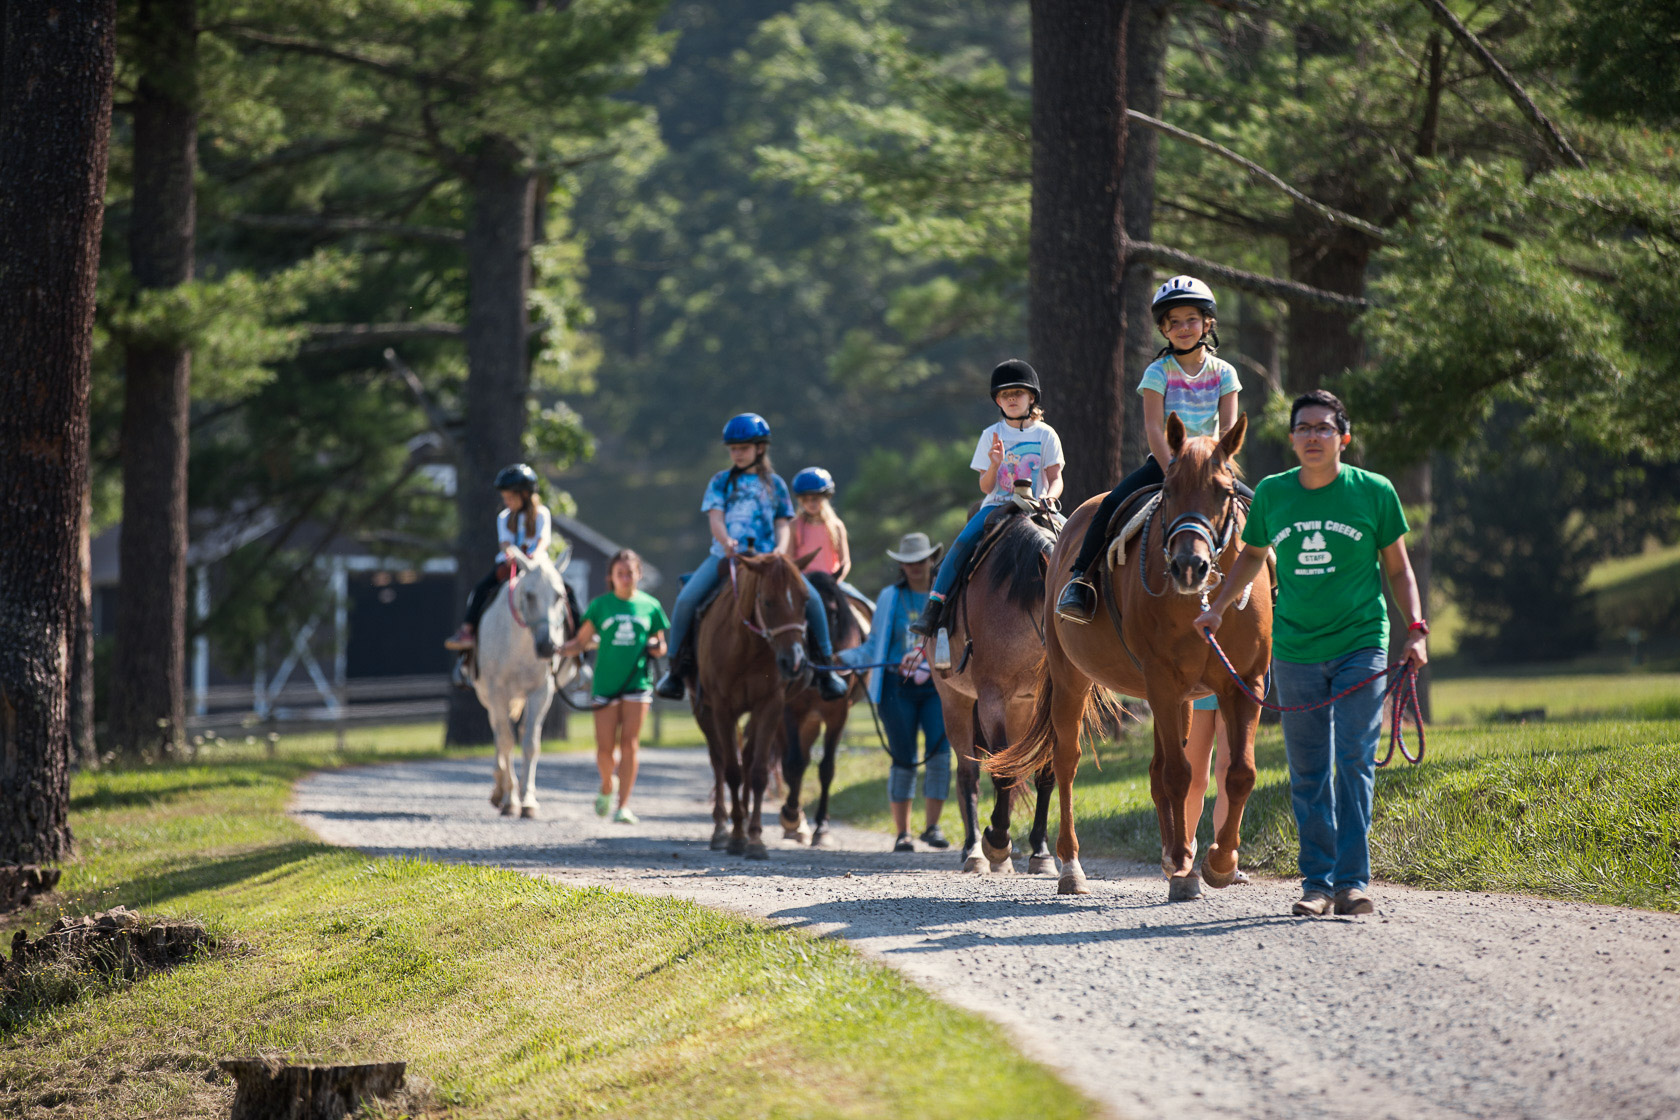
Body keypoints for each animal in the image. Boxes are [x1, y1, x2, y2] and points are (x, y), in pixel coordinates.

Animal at [473, 550, 577, 819]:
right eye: (529, 595)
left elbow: (530, 743)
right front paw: (510, 801)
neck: (519, 645)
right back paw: (500, 791)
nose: (548, 646)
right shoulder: (497, 693)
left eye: (559, 595)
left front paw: (527, 801)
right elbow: (507, 742)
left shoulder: (541, 692)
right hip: (489, 699)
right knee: (499, 734)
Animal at [682, 550, 813, 859]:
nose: (794, 661)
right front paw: (737, 837)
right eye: (768, 601)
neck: (747, 646)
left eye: (805, 600)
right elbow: (731, 771)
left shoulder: (769, 706)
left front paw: (754, 839)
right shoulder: (722, 709)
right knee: (718, 760)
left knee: (747, 758)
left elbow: (757, 773)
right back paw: (720, 829)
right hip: (703, 712)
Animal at [779, 574, 873, 846]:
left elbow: (826, 768)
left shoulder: (837, 714)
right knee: (789, 762)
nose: (824, 662)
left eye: (833, 613)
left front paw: (822, 827)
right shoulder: (791, 711)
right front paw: (791, 815)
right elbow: (794, 764)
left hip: (812, 722)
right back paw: (794, 822)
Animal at [940, 507, 1055, 873]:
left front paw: (1041, 852)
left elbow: (1046, 774)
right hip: (956, 703)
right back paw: (974, 850)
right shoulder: (991, 699)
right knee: (968, 776)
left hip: (1021, 709)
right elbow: (1001, 773)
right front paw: (997, 840)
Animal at [981, 414, 1270, 900]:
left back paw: (1175, 859)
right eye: (1168, 489)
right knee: (1066, 762)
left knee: (1157, 769)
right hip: (1074, 679)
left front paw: (1218, 862)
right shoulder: (1163, 680)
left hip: (1179, 698)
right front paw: (1185, 866)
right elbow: (1178, 774)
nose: (1189, 565)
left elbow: (1239, 773)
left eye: (1224, 490)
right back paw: (1072, 867)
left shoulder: (1244, 683)